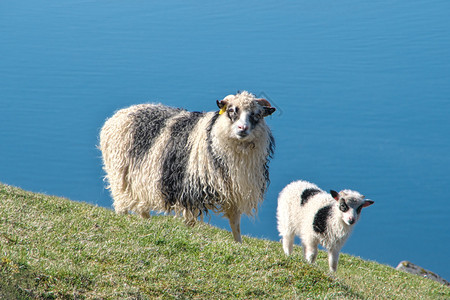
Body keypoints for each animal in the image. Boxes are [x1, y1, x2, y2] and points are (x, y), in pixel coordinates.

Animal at [100, 91, 276, 241]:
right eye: (232, 110)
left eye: (257, 115)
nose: (242, 128)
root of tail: (119, 114)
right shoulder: (189, 191)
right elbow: (190, 222)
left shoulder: (233, 193)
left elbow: (235, 224)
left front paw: (237, 244)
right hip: (119, 177)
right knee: (121, 206)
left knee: (142, 207)